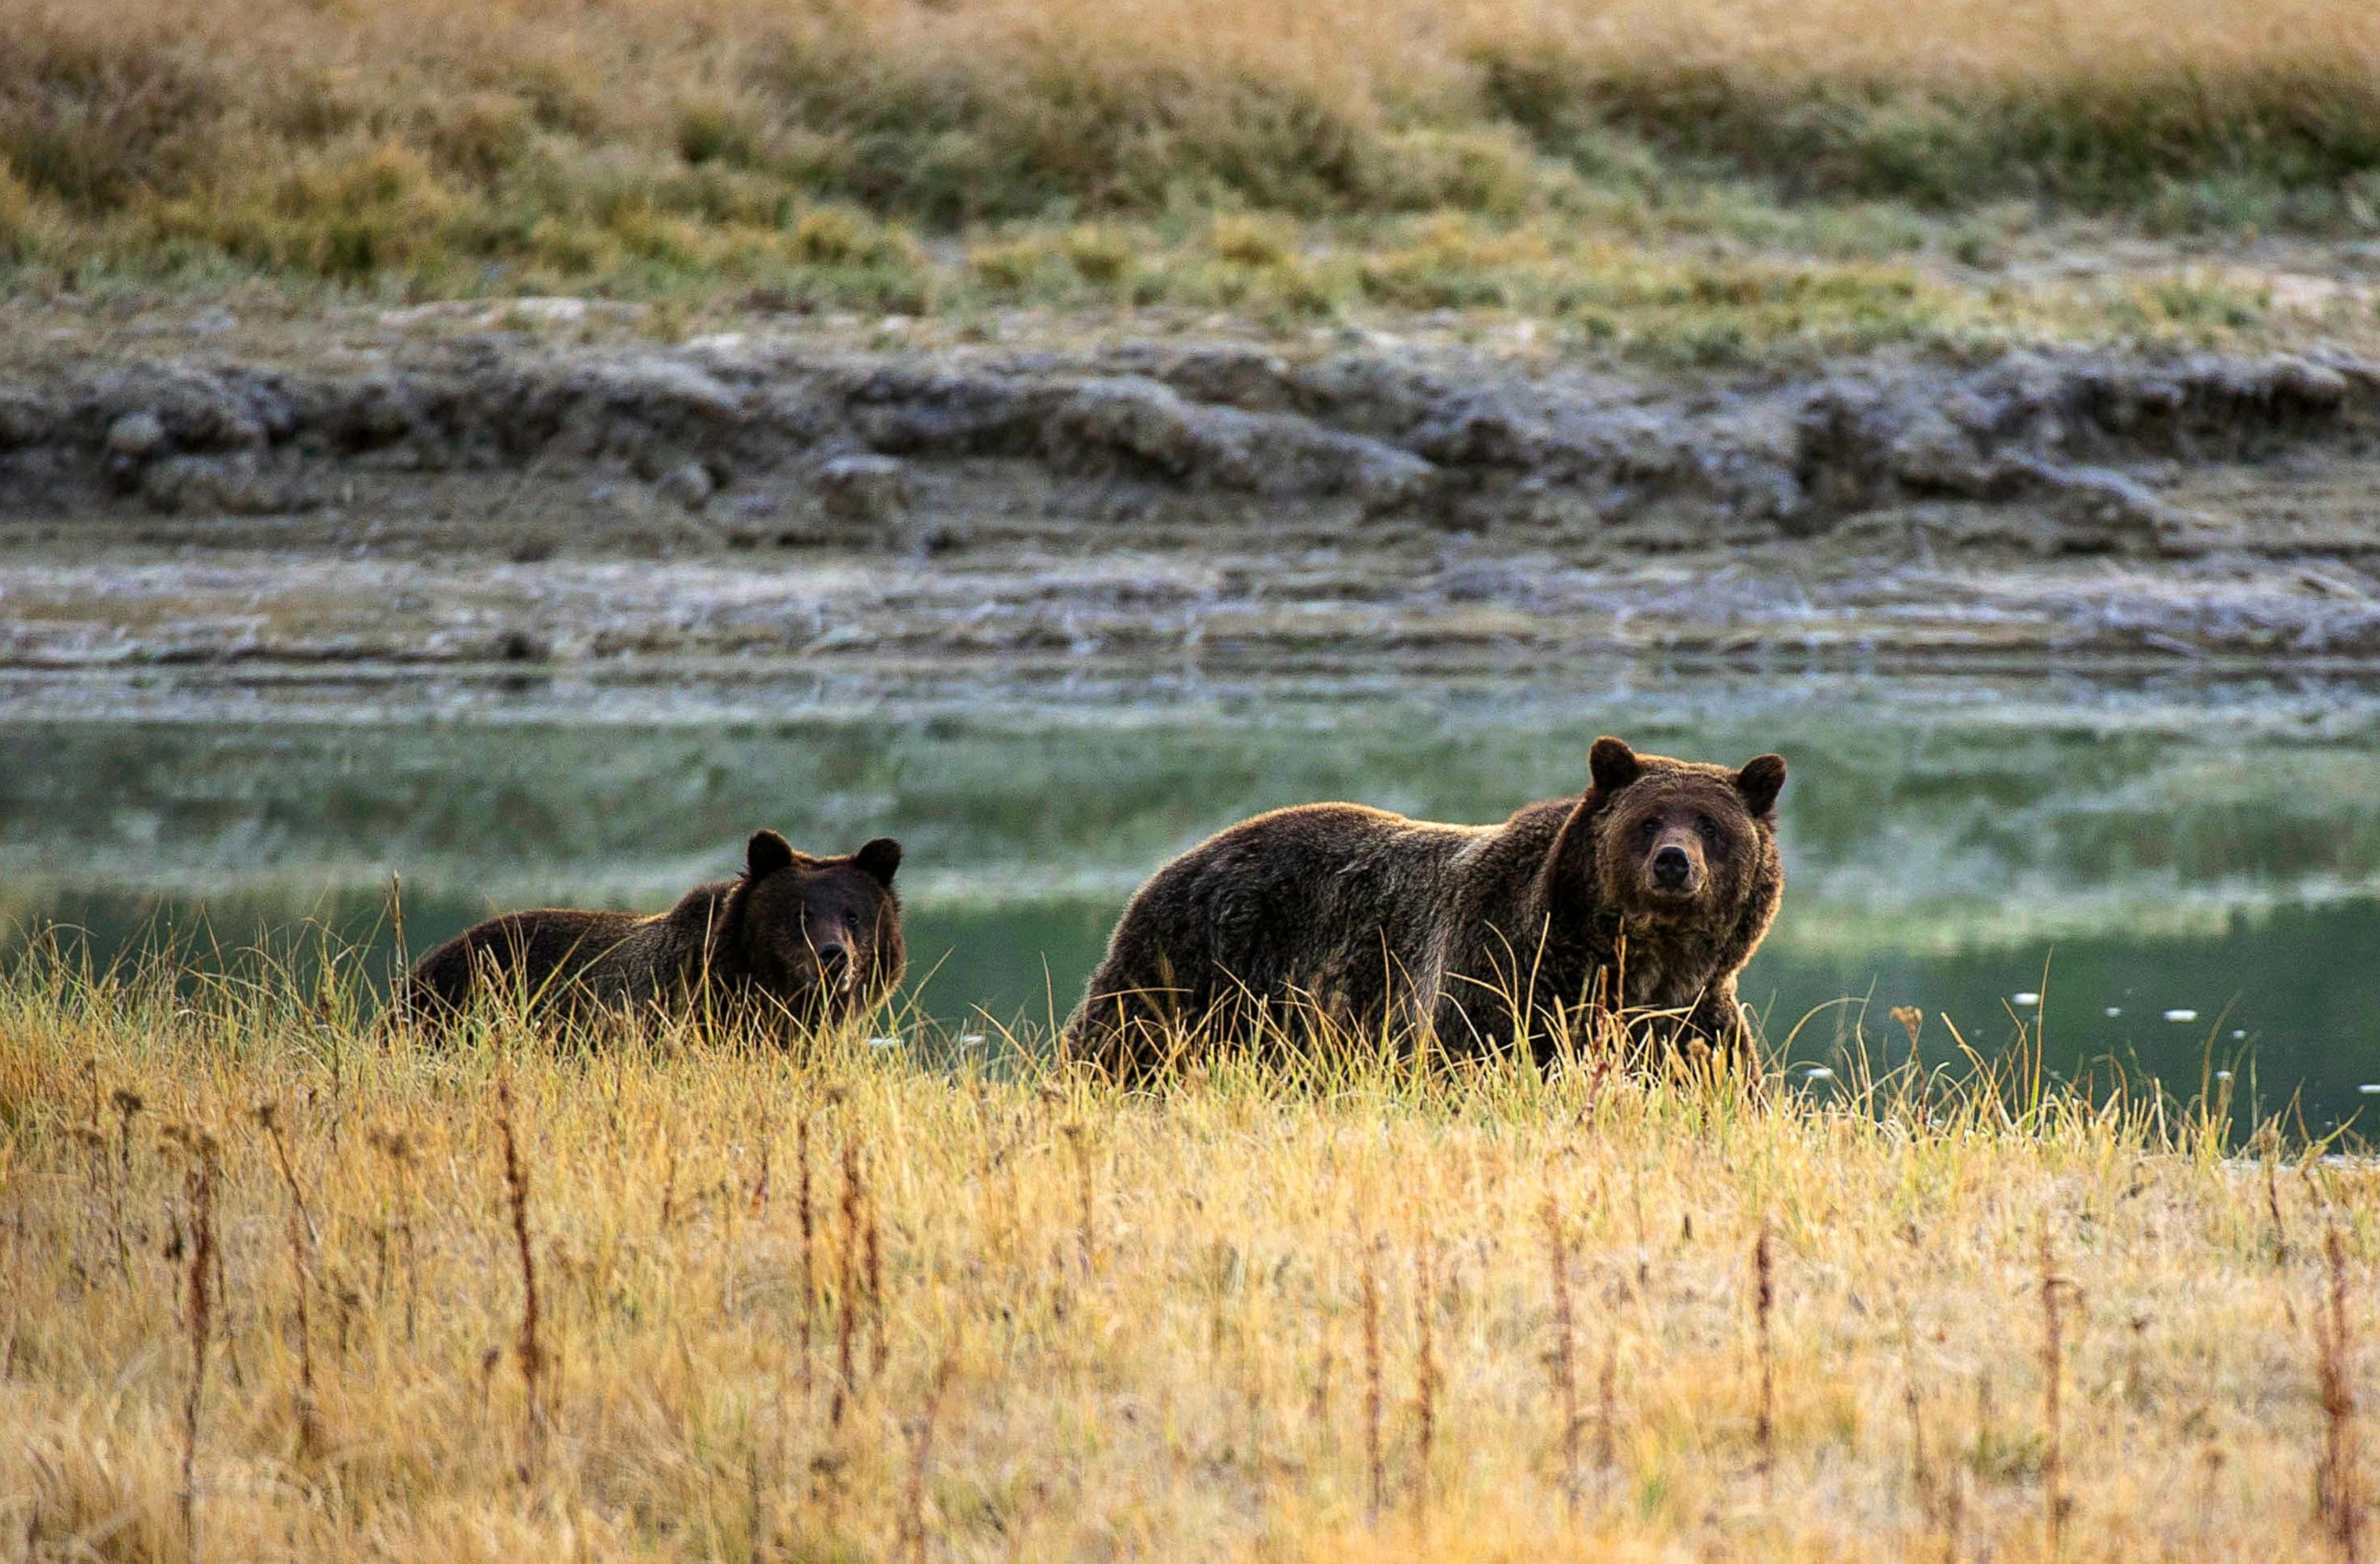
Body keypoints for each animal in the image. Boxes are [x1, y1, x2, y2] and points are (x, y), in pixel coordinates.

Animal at [1066, 737, 1790, 1080]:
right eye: (1649, 819)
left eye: (1710, 824)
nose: (1674, 862)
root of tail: (1174, 862)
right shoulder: (1502, 979)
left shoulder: (1693, 1019)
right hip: (1191, 970)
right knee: (1119, 1047)